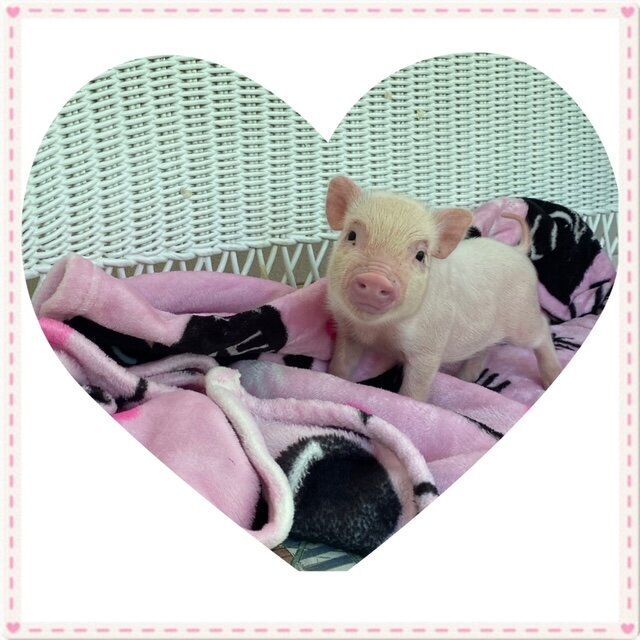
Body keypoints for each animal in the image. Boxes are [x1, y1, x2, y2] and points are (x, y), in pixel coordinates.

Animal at [325, 176, 562, 402]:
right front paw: (333, 378)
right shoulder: (348, 332)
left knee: (543, 328)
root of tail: (519, 252)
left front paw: (410, 403)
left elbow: (415, 388)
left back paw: (551, 379)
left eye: (421, 255)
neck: (378, 331)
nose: (375, 279)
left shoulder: (428, 347)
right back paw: (465, 378)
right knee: (484, 349)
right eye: (351, 235)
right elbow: (341, 365)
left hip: (522, 318)